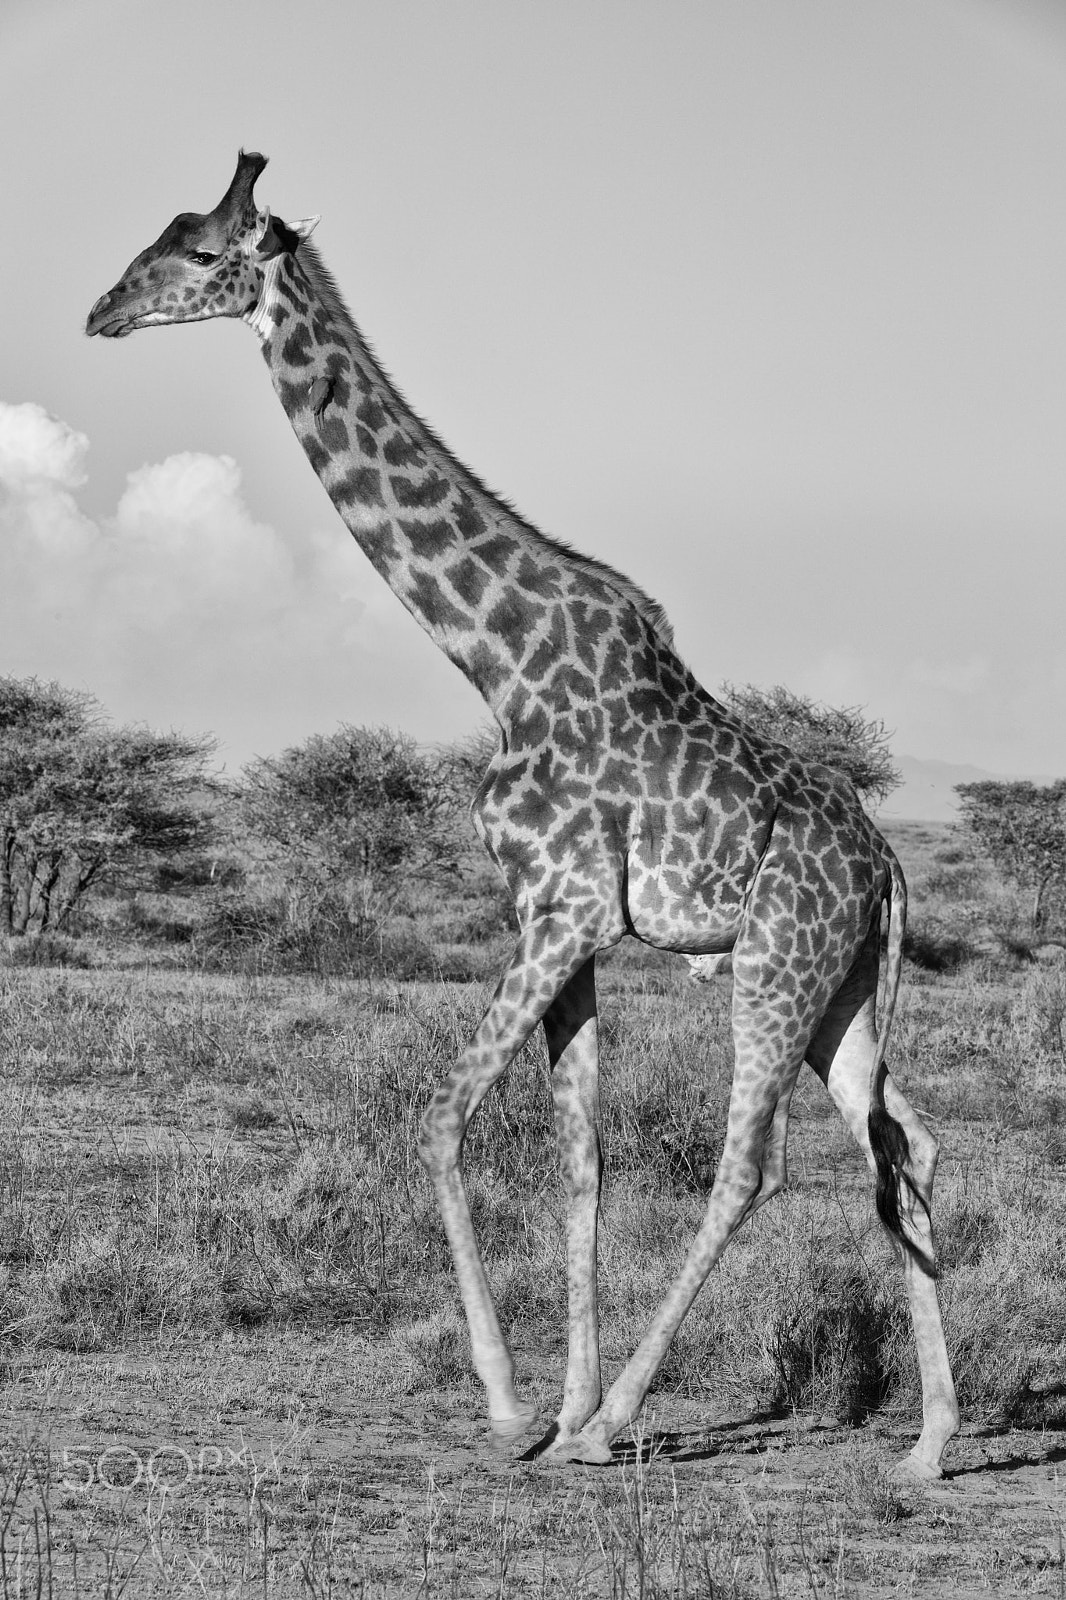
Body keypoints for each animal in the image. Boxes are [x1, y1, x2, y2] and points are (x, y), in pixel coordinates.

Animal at [86, 152, 959, 1477]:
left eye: (197, 252)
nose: (101, 311)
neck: (491, 658)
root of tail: (886, 867)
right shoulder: (558, 922)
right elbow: (579, 1157)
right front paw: (553, 1402)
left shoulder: (561, 910)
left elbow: (442, 1117)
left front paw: (517, 1411)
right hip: (846, 986)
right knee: (900, 1145)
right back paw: (927, 1446)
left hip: (778, 959)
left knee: (750, 1164)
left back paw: (615, 1427)